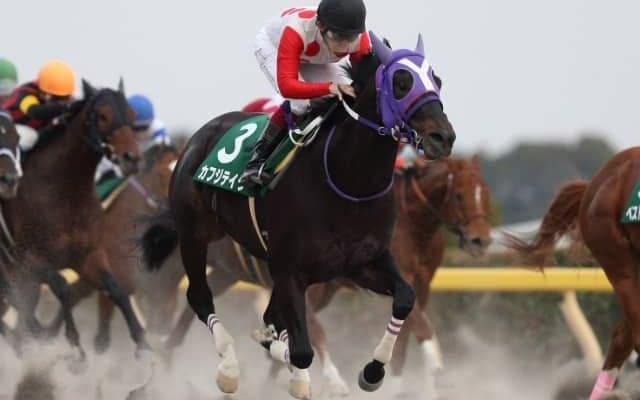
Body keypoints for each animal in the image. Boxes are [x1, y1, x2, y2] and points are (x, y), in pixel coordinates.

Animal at [1, 79, 148, 362]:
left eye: (132, 115)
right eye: (102, 116)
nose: (132, 158)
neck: (65, 191)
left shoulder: (89, 256)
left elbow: (117, 291)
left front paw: (145, 346)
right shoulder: (29, 259)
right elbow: (62, 288)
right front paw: (74, 349)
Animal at [140, 32, 456, 399]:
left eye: (437, 80)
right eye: (401, 82)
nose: (443, 137)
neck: (348, 181)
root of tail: (197, 138)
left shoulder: (363, 262)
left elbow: (404, 298)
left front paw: (373, 370)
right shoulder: (290, 270)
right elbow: (301, 349)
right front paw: (298, 371)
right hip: (195, 234)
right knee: (199, 297)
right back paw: (228, 368)